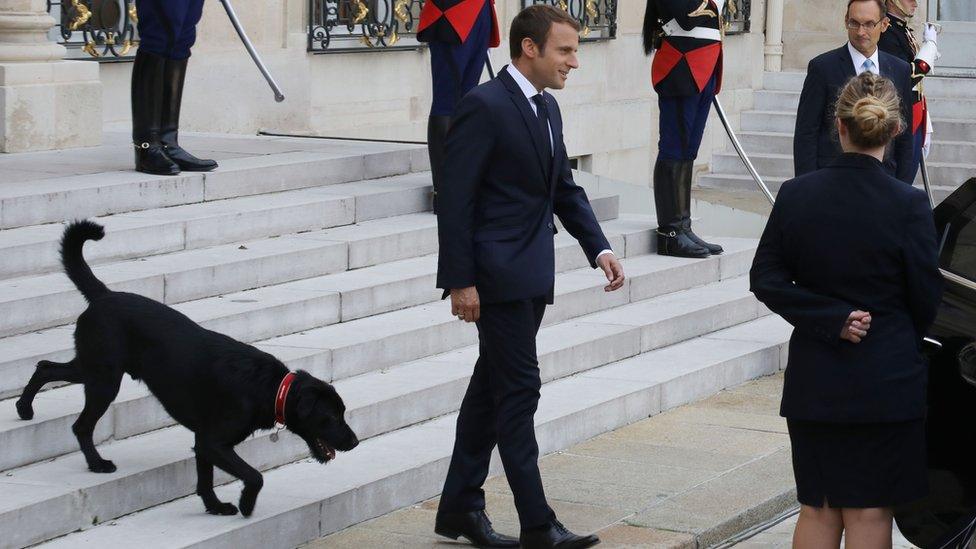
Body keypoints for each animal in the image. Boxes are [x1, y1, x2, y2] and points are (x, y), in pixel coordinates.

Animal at [16, 218, 358, 512]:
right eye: (331, 417)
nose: (355, 442)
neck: (271, 388)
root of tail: (104, 295)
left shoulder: (203, 442)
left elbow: (205, 479)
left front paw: (215, 507)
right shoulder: (214, 441)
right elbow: (254, 475)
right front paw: (246, 504)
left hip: (92, 368)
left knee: (45, 366)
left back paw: (24, 409)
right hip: (104, 379)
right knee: (80, 424)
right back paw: (96, 463)